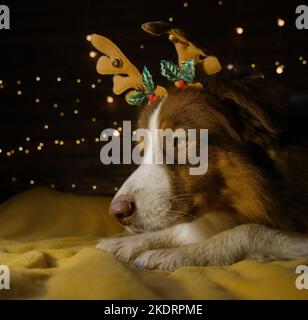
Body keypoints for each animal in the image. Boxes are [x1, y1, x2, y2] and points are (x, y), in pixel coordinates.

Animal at [96, 69, 308, 272]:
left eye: (178, 141)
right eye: (142, 149)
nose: (117, 212)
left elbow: (250, 230)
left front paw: (176, 254)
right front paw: (128, 243)